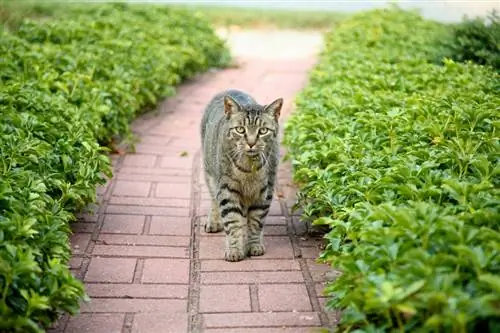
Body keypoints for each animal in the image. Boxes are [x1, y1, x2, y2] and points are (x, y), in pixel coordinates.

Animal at [201, 89, 284, 260]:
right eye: (240, 129)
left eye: (263, 131)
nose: (251, 143)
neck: (249, 170)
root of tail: (228, 90)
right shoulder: (227, 190)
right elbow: (233, 222)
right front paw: (235, 249)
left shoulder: (264, 192)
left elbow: (256, 222)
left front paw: (254, 245)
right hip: (210, 173)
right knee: (213, 199)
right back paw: (214, 221)